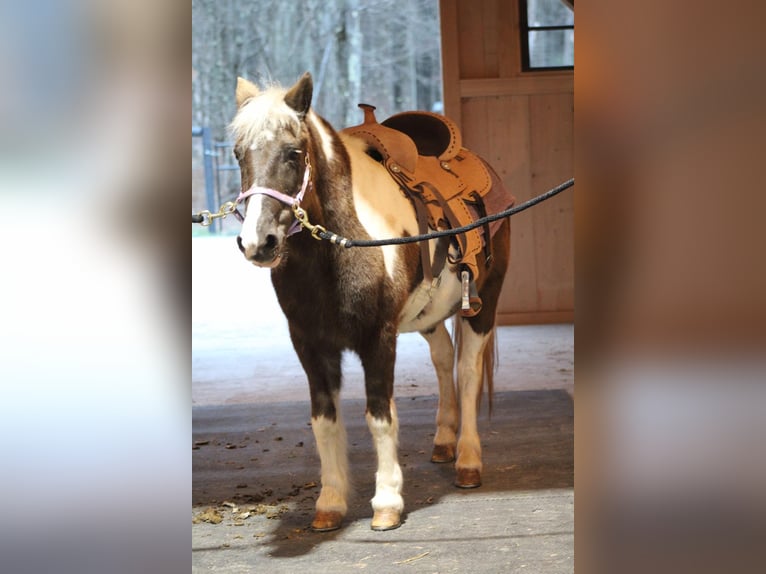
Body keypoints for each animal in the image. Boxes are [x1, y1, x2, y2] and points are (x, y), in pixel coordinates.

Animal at [231, 73, 512, 536]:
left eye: (293, 152)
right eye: (239, 154)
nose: (258, 243)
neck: (340, 246)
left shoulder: (378, 339)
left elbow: (380, 416)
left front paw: (387, 502)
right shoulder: (310, 345)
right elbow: (324, 420)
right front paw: (330, 502)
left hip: (483, 304)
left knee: (468, 372)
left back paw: (468, 460)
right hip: (429, 316)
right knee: (443, 358)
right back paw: (444, 440)